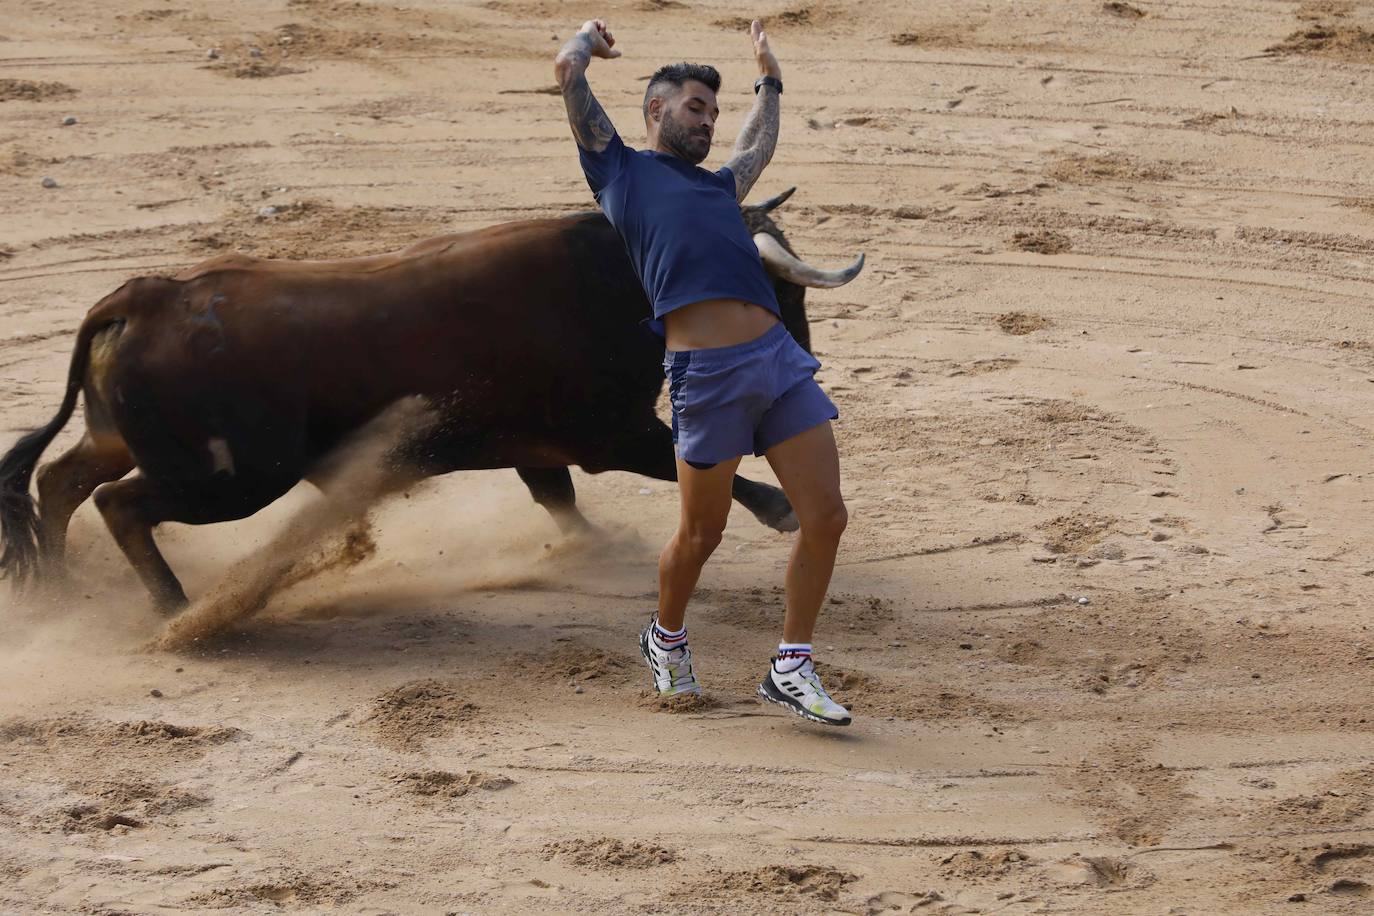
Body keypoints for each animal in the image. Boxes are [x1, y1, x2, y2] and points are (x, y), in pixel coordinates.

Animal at [0, 189, 857, 612]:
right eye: (775, 289)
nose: (805, 361)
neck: (618, 279)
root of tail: (145, 298)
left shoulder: (538, 445)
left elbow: (557, 500)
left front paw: (594, 546)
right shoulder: (609, 433)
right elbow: (677, 465)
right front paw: (784, 510)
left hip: (126, 439)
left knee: (60, 480)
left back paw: (60, 589)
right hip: (229, 478)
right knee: (118, 502)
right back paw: (175, 610)